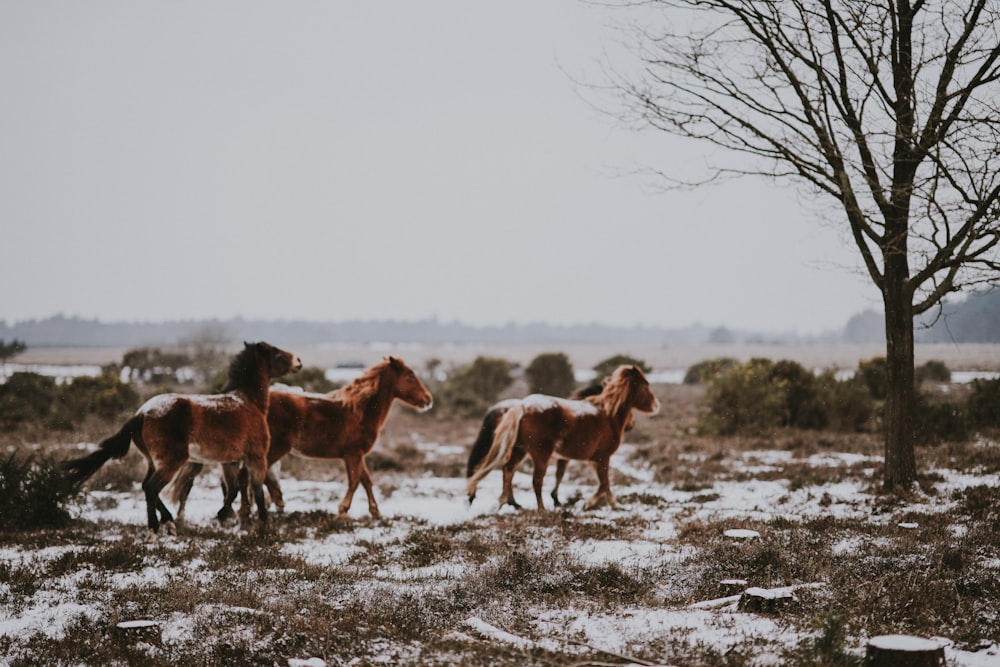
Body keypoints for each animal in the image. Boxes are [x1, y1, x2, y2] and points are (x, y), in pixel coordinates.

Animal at [62, 342, 300, 536]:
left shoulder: (230, 461)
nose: (298, 361)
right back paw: (155, 529)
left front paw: (223, 515)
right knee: (151, 488)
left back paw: (168, 522)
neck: (248, 402)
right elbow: (256, 490)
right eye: (277, 353)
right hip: (172, 461)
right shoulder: (256, 457)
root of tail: (141, 413)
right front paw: (263, 524)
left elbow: (232, 491)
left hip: (153, 461)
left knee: (146, 486)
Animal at [171, 358, 434, 520]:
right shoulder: (352, 455)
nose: (428, 400)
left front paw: (375, 512)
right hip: (273, 450)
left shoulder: (356, 456)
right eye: (410, 376)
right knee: (250, 476)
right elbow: (355, 482)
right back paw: (250, 509)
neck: (359, 410)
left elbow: (366, 481)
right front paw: (342, 511)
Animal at [466, 368, 660, 516]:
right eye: (645, 384)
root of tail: (522, 407)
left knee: (508, 470)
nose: (656, 405)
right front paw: (587, 504)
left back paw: (506, 503)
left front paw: (615, 505)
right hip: (540, 454)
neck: (608, 415)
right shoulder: (602, 458)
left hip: (519, 450)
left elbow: (601, 484)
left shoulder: (588, 460)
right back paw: (541, 510)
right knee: (536, 481)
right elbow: (604, 483)